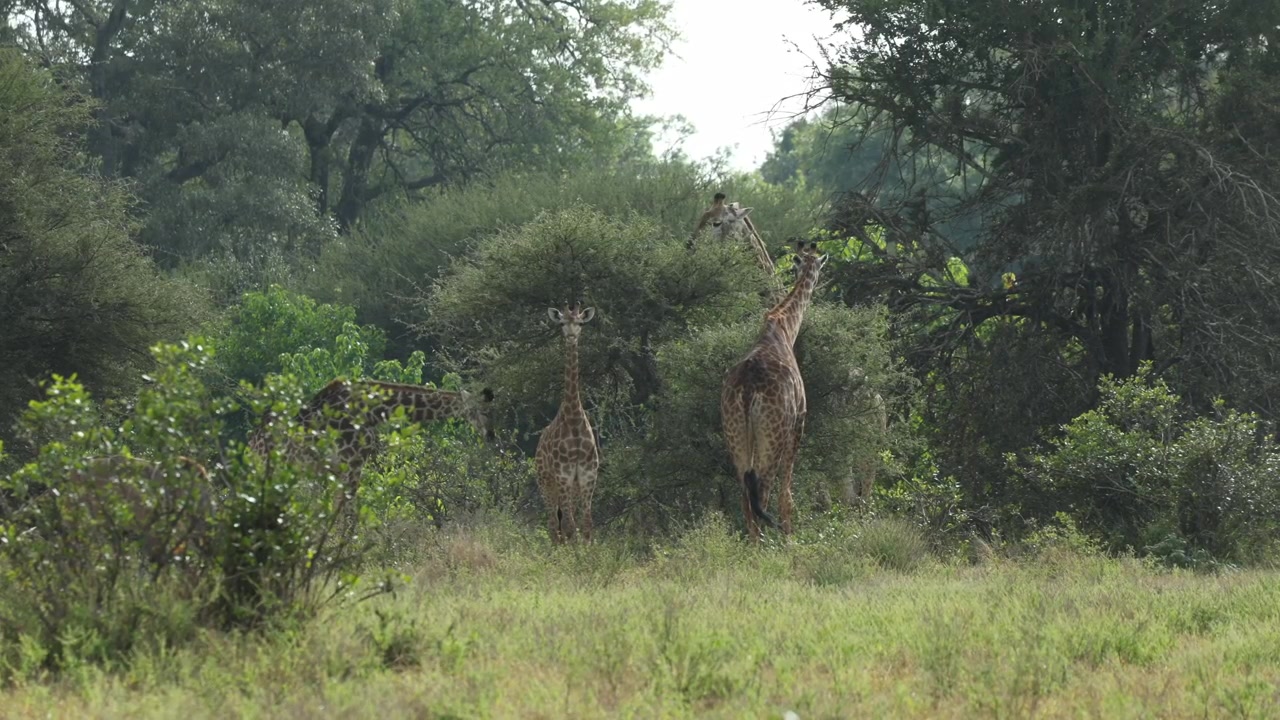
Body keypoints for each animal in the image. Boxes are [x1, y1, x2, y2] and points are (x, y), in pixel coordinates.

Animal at [247, 379, 493, 510]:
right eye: (478, 410)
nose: (490, 433)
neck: (373, 412)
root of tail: (251, 444)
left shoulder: (343, 469)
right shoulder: (352, 464)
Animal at [535, 304, 600, 544]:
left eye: (580, 323)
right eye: (562, 323)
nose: (571, 336)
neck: (573, 418)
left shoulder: (587, 475)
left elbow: (587, 524)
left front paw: (586, 550)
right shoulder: (563, 475)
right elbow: (571, 526)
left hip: (570, 485)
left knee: (562, 522)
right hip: (546, 482)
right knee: (554, 525)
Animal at [721, 239, 827, 540]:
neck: (783, 327)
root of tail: (747, 390)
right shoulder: (799, 422)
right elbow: (787, 495)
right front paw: (790, 538)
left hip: (735, 436)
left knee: (745, 499)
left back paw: (754, 546)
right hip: (773, 435)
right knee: (763, 493)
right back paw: (768, 544)